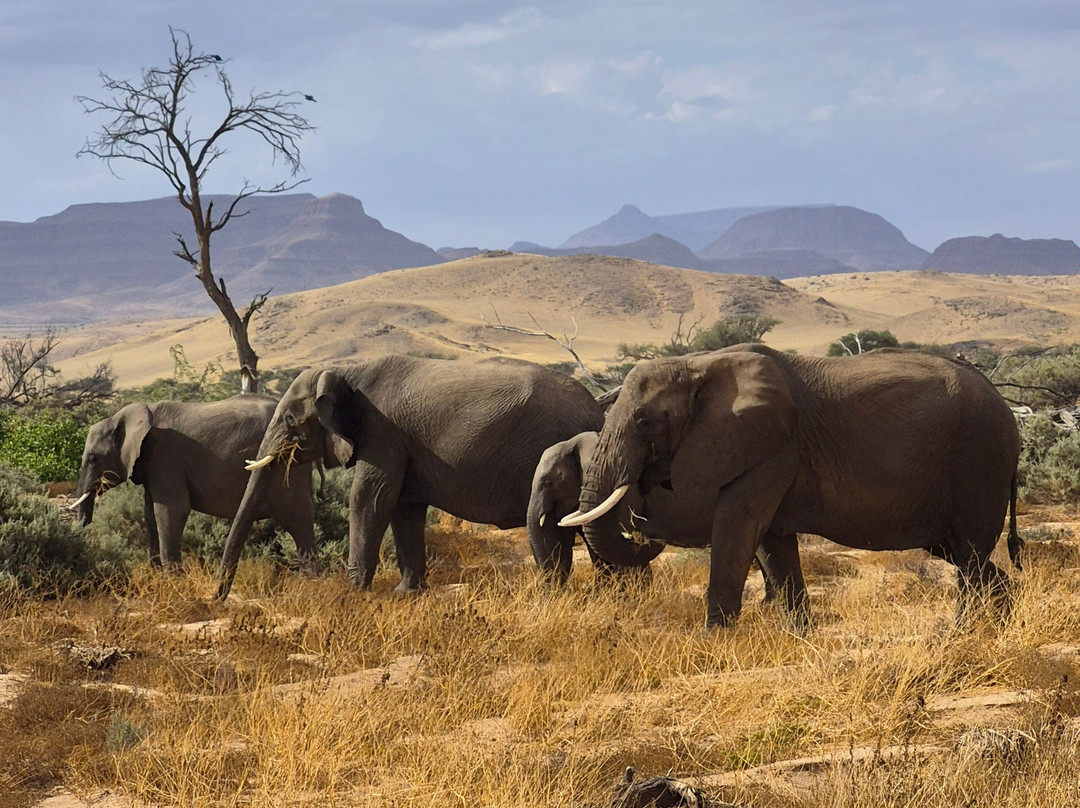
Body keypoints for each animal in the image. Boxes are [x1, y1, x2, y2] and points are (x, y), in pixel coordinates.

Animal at [71, 396, 317, 567]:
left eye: (93, 458)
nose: (82, 528)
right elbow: (150, 514)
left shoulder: (165, 455)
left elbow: (171, 511)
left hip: (287, 467)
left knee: (298, 520)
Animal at [215, 355, 605, 600]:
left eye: (291, 419)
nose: (219, 598)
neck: (347, 370)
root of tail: (596, 411)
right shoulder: (401, 443)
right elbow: (404, 508)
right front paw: (405, 593)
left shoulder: (383, 433)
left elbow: (369, 499)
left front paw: (354, 593)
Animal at [561, 344, 1022, 629]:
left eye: (643, 422)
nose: (642, 524)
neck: (696, 364)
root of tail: (1008, 410)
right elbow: (772, 541)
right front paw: (799, 635)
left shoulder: (774, 448)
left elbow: (737, 526)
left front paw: (712, 643)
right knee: (966, 555)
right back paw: (996, 622)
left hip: (979, 461)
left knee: (971, 556)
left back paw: (959, 634)